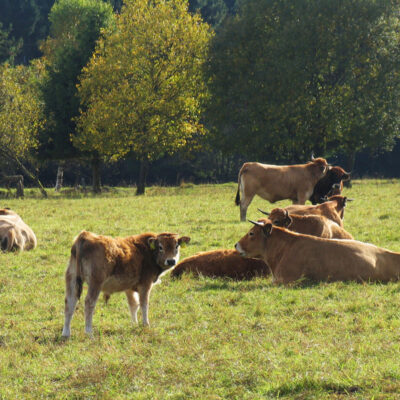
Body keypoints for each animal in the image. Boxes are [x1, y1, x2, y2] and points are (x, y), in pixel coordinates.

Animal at [61, 231, 190, 338]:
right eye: (160, 247)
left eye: (176, 246)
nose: (171, 261)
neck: (147, 252)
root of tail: (84, 236)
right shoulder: (145, 285)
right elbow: (144, 304)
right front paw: (145, 324)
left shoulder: (129, 288)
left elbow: (133, 305)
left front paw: (134, 324)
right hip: (95, 283)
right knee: (89, 303)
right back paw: (89, 332)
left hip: (72, 279)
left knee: (70, 303)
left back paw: (66, 333)